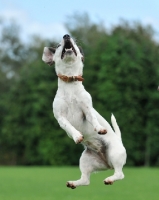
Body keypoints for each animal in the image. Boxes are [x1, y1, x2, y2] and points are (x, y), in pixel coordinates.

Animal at [42, 34, 126, 189]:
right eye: (58, 45)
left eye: (74, 43)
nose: (66, 36)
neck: (70, 82)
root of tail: (108, 164)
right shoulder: (60, 117)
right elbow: (69, 126)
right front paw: (77, 136)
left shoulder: (87, 110)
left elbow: (93, 119)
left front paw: (99, 128)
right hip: (85, 160)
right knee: (86, 180)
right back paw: (73, 183)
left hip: (114, 153)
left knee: (120, 174)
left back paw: (109, 179)